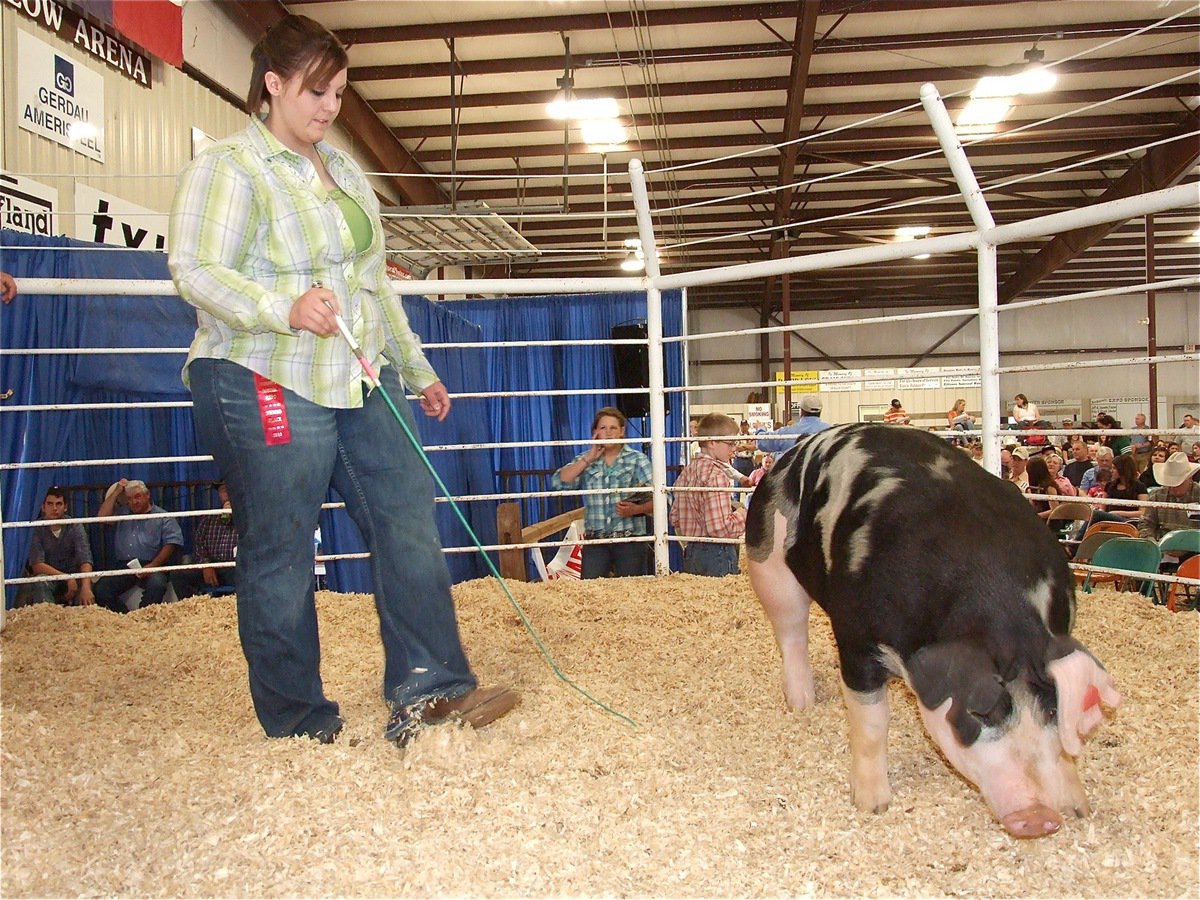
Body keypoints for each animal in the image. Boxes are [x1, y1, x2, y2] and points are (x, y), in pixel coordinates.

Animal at [744, 427, 1118, 844]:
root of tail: (793, 452)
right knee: (791, 632)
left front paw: (1079, 809)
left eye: (1053, 709)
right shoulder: (857, 639)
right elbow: (871, 723)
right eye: (979, 712)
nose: (1040, 818)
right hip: (768, 565)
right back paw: (802, 703)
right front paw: (872, 806)